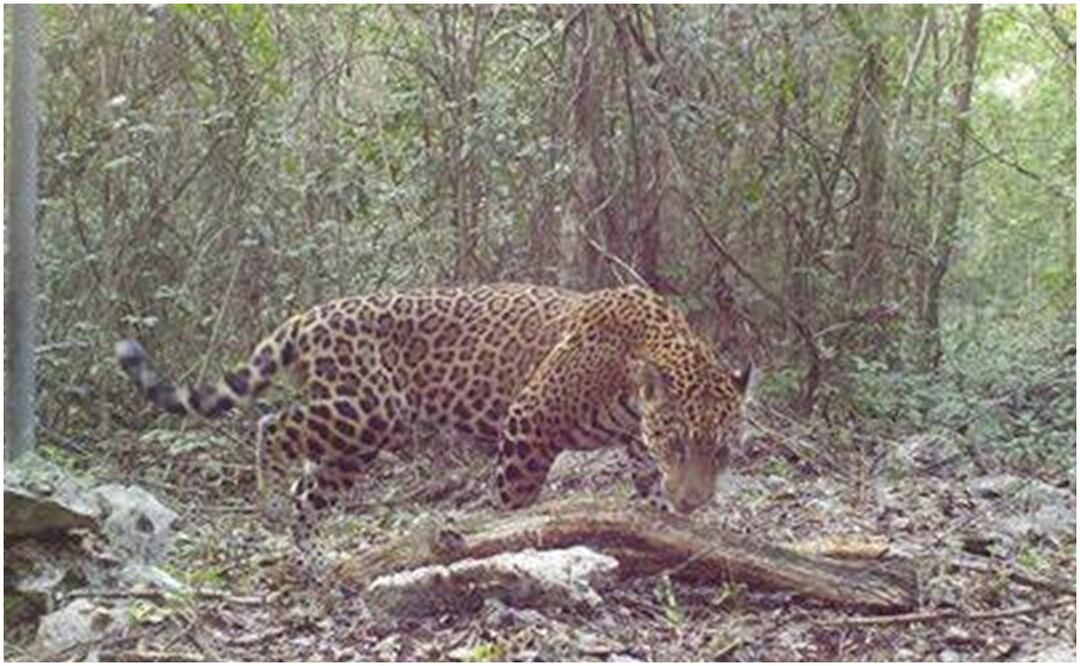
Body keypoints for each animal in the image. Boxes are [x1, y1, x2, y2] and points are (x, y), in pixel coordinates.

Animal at [116, 283, 751, 560]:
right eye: (678, 441)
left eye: (721, 451)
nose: (695, 502)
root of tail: (307, 317)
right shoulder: (528, 421)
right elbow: (516, 498)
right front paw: (506, 539)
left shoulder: (633, 442)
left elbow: (644, 481)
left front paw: (667, 519)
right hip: (367, 410)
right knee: (272, 424)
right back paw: (268, 500)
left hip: (355, 441)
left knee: (310, 491)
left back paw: (314, 559)